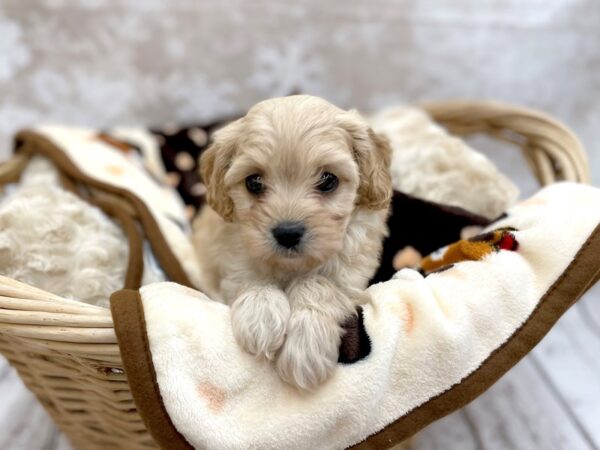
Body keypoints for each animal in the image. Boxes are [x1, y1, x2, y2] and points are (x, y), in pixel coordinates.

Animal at [193, 95, 394, 390]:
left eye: (328, 180)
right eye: (254, 182)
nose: (287, 233)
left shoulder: (350, 270)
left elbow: (319, 284)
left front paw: (306, 347)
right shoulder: (235, 257)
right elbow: (252, 274)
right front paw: (261, 316)